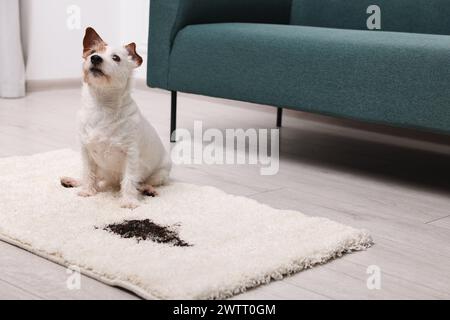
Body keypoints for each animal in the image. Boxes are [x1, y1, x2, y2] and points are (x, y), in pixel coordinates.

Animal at [59, 27, 171, 210]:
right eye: (92, 52)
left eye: (116, 58)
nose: (95, 58)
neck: (102, 105)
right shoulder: (86, 151)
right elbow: (88, 172)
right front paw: (87, 191)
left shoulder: (131, 155)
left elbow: (130, 180)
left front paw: (128, 201)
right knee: (96, 177)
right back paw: (75, 181)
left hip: (160, 174)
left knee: (143, 182)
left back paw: (148, 189)